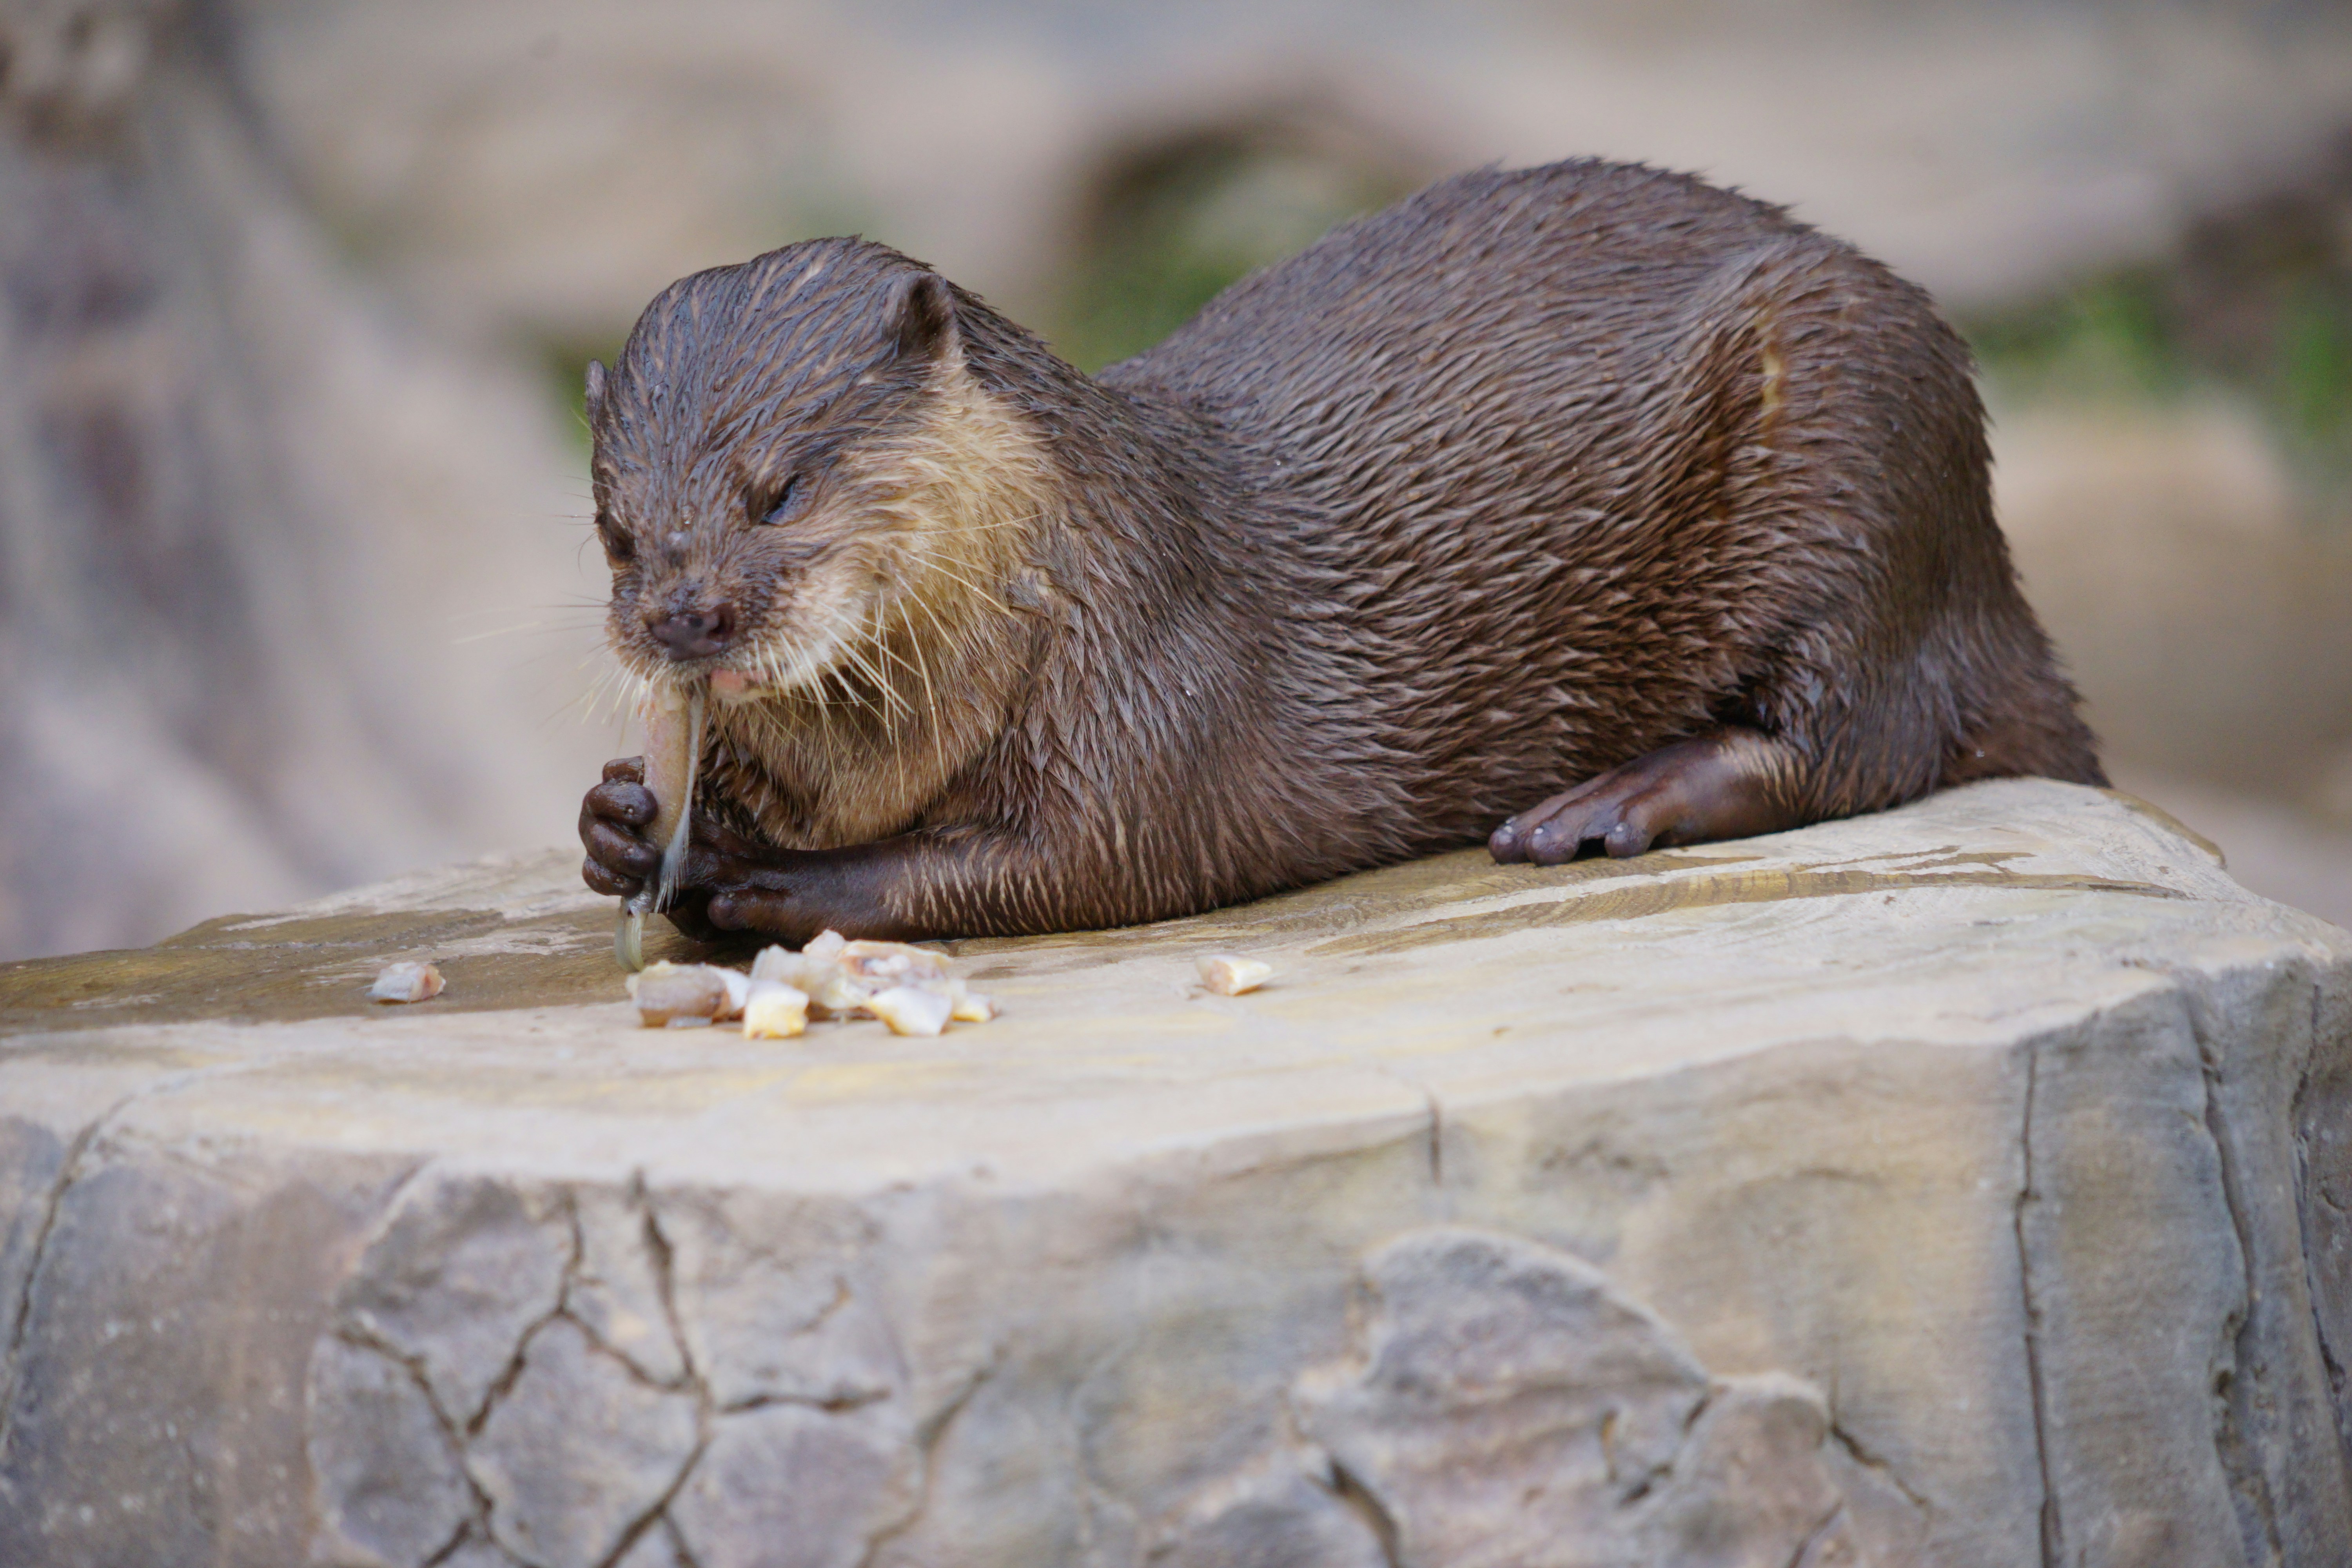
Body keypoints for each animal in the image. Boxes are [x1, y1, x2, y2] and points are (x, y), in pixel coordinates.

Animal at [578, 158, 2103, 944]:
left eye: (778, 490)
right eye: (614, 527)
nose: (684, 616)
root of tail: (1992, 583)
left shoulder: (1150, 694)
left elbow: (1075, 864)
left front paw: (767, 884)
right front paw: (625, 820)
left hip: (1855, 440)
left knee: (1866, 737)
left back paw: (1607, 803)